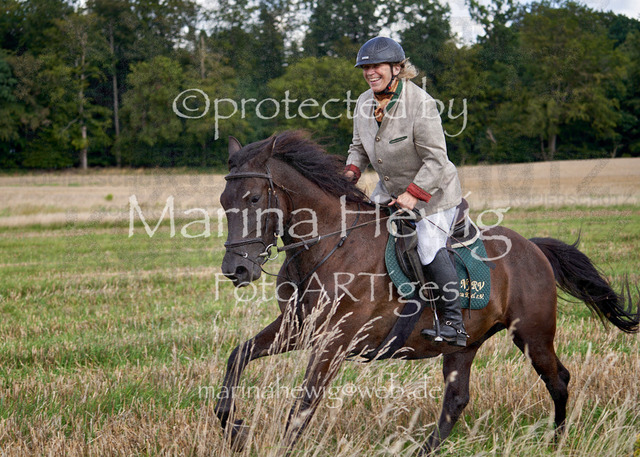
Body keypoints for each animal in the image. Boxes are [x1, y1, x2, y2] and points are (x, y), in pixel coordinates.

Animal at [215, 130, 639, 455]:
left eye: (254, 198)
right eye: (224, 202)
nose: (236, 269)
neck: (330, 245)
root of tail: (533, 249)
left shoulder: (335, 341)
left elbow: (303, 404)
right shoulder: (298, 328)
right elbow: (238, 357)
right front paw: (235, 428)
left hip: (533, 335)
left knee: (558, 380)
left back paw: (557, 441)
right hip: (464, 345)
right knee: (456, 399)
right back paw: (425, 450)